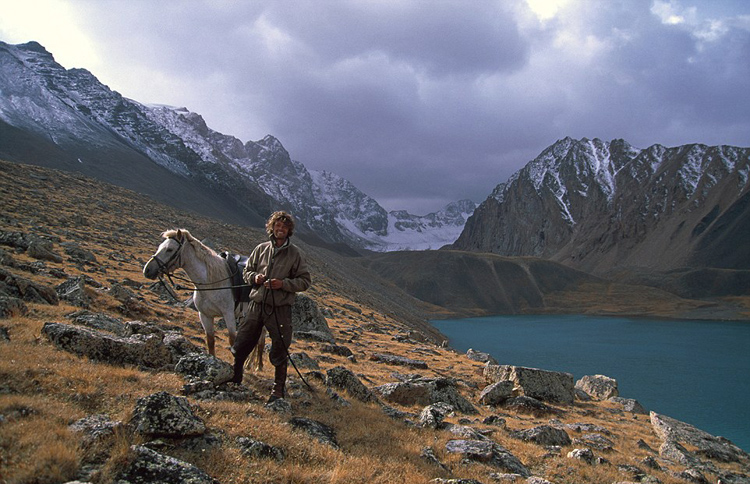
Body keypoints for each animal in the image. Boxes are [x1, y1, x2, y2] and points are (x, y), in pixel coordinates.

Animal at [143, 229, 264, 369]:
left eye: (169, 249)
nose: (147, 270)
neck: (211, 282)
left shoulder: (228, 314)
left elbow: (232, 340)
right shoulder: (205, 315)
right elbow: (210, 340)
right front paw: (211, 361)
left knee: (260, 340)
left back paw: (258, 366)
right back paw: (249, 364)